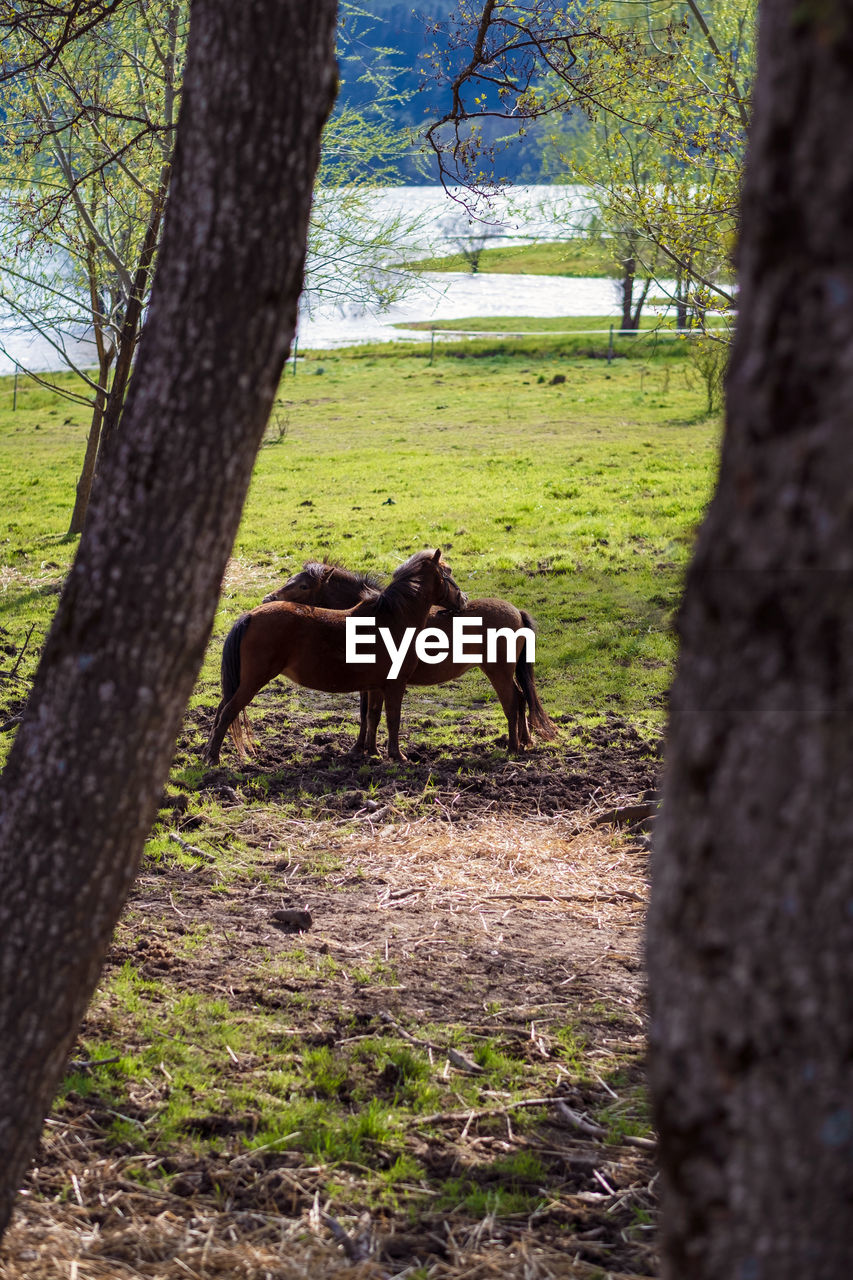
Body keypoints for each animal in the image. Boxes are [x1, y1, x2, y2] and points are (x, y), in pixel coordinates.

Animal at [203, 547, 461, 762]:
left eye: (302, 585)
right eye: (448, 571)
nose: (462, 598)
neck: (392, 618)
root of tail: (250, 615)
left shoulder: (375, 686)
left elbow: (372, 716)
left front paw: (371, 752)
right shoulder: (394, 684)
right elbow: (392, 719)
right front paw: (396, 756)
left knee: (221, 710)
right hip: (252, 681)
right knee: (228, 712)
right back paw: (213, 759)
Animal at [266, 558, 558, 747]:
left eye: (303, 586)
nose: (268, 600)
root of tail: (516, 611)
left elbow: (369, 713)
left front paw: (363, 748)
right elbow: (367, 713)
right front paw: (363, 748)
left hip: (498, 672)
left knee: (514, 700)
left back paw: (514, 745)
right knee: (522, 698)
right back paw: (525, 741)